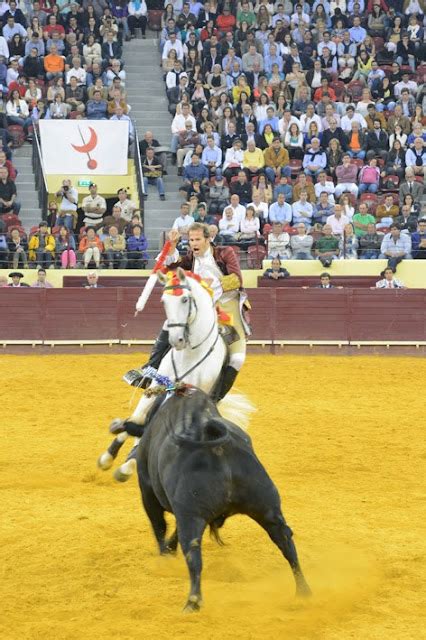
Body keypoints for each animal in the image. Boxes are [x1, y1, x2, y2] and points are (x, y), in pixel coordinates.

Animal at [98, 268, 240, 482]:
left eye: (185, 300)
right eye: (164, 301)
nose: (176, 340)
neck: (191, 353)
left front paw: (129, 464)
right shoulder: (157, 385)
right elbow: (138, 418)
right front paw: (109, 456)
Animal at [136, 384, 312, 608]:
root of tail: (218, 448)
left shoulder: (149, 493)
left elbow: (160, 526)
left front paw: (164, 559)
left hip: (191, 516)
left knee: (193, 554)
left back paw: (192, 603)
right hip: (268, 509)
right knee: (286, 542)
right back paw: (303, 592)